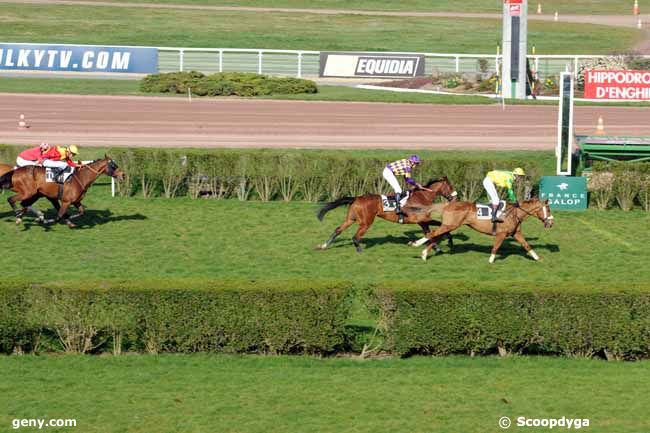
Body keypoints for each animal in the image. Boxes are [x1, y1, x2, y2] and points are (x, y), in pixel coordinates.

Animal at [314, 176, 456, 253]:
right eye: (450, 187)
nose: (455, 197)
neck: (422, 197)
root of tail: (356, 198)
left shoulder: (422, 222)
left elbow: (430, 234)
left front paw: (437, 248)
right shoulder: (423, 220)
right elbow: (440, 228)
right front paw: (449, 241)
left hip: (351, 218)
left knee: (338, 230)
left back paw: (324, 246)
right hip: (366, 222)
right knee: (355, 236)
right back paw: (359, 250)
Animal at [410, 197, 552, 262]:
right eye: (548, 209)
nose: (551, 223)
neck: (514, 213)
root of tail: (447, 205)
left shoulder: (516, 233)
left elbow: (526, 245)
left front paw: (538, 258)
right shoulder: (501, 234)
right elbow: (496, 247)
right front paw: (490, 261)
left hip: (448, 226)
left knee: (435, 237)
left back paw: (424, 254)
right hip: (450, 225)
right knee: (432, 234)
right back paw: (415, 244)